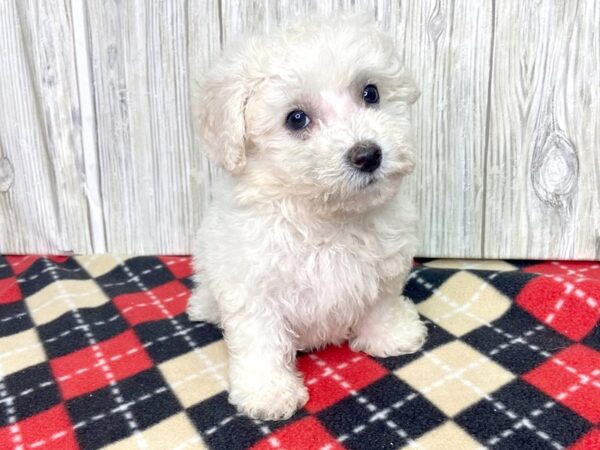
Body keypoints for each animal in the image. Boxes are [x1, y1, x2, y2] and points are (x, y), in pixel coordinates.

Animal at [188, 14, 426, 422]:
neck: (325, 216)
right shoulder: (252, 285)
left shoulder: (384, 266)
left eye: (371, 93)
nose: (368, 155)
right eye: (296, 119)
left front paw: (391, 336)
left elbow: (382, 303)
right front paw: (268, 392)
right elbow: (260, 340)